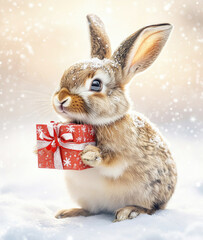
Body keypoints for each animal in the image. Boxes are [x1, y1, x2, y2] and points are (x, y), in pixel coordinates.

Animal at [52, 14, 176, 222]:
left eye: (96, 84)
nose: (61, 99)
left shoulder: (125, 152)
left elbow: (113, 162)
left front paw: (90, 154)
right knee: (91, 210)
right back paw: (69, 212)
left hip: (148, 193)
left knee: (152, 208)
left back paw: (129, 211)